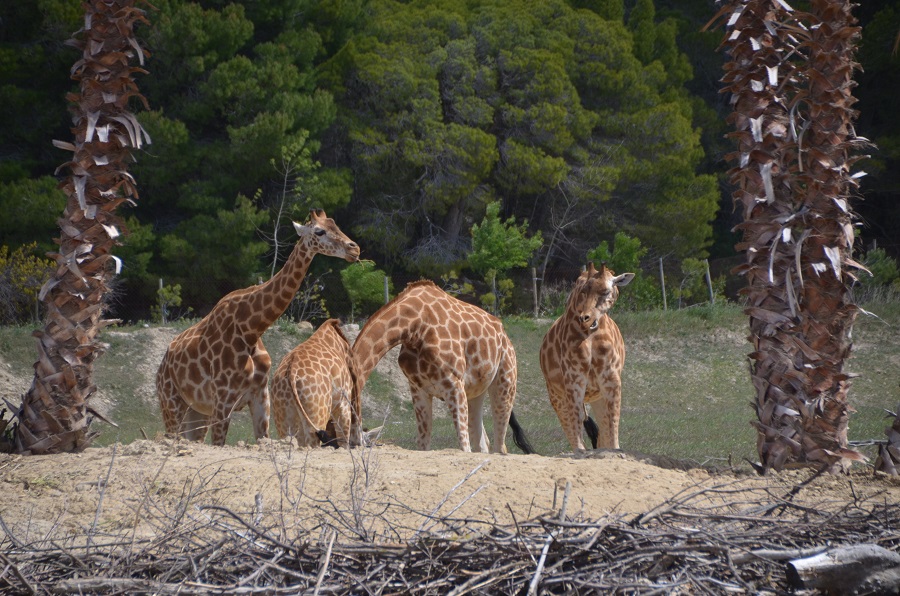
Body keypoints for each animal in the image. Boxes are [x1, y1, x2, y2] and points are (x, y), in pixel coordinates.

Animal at [268, 318, 356, 450]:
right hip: (317, 417)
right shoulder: (344, 404)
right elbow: (344, 441)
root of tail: (291, 372)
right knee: (312, 443)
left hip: (284, 419)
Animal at [350, 282, 536, 454]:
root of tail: (505, 336)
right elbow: (423, 444)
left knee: (500, 446)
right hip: (476, 392)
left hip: (506, 381)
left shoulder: (454, 385)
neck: (413, 325)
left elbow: (464, 446)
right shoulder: (419, 389)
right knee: (483, 443)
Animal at [536, 260, 636, 452]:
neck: (590, 337)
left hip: (597, 396)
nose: (586, 318)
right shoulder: (573, 379)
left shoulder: (611, 379)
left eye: (606, 291)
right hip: (556, 395)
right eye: (583, 290)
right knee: (571, 428)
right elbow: (577, 435)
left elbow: (612, 428)